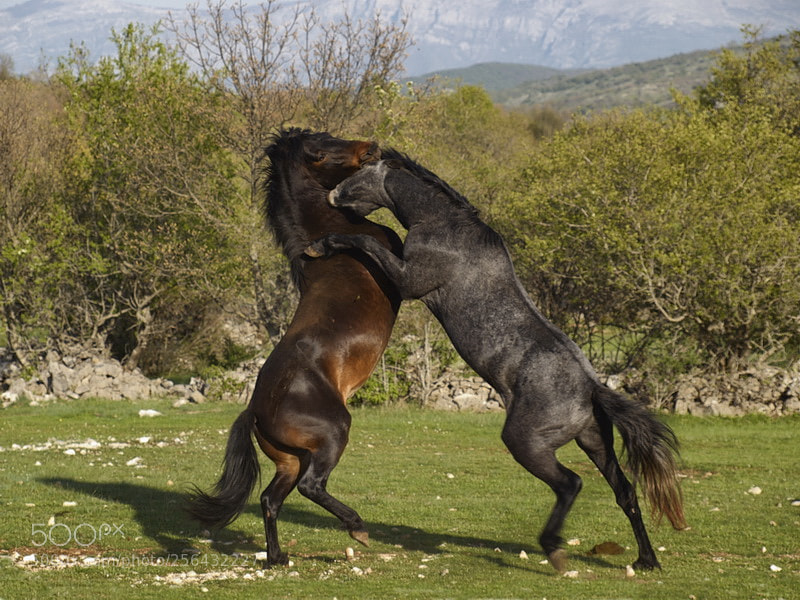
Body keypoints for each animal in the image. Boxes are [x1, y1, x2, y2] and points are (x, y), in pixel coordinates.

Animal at [186, 129, 402, 566]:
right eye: (318, 152)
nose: (370, 147)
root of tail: (255, 411)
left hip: (290, 459)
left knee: (271, 499)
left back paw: (278, 557)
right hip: (333, 434)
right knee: (311, 487)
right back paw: (357, 529)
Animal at [305, 151, 686, 572]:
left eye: (359, 171)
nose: (333, 195)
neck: (443, 226)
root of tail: (591, 387)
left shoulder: (407, 280)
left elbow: (363, 241)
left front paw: (319, 245)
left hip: (526, 443)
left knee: (571, 483)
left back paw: (554, 549)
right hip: (595, 443)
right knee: (626, 492)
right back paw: (647, 560)